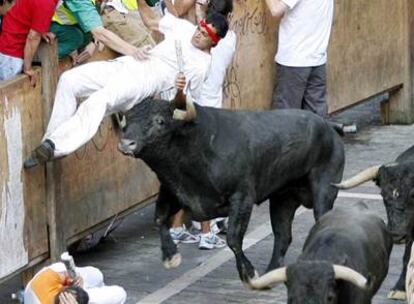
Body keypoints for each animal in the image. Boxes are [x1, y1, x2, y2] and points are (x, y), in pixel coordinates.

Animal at [118, 97, 344, 284]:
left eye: (160, 121)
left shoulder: (242, 197)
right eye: (127, 122)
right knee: (282, 235)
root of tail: (328, 125)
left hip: (324, 191)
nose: (126, 143)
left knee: (319, 221)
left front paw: (249, 273)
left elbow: (234, 238)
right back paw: (271, 271)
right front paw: (170, 256)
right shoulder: (172, 192)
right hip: (282, 198)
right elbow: (159, 219)